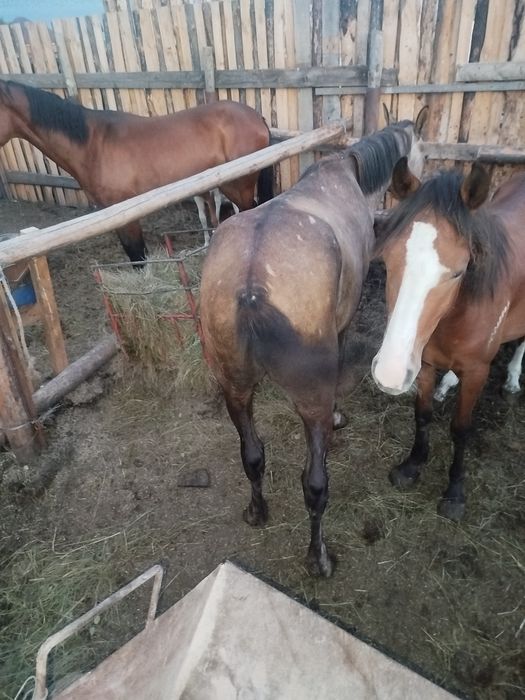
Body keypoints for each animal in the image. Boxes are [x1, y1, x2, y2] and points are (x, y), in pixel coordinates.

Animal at [200, 109, 428, 577]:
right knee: (316, 485)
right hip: (308, 402)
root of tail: (250, 288)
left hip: (235, 389)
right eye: (423, 154)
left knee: (252, 455)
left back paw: (257, 511)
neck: (349, 173)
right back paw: (318, 557)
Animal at [372, 159, 525, 521]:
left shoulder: (478, 372)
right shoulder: (424, 363)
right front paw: (411, 466)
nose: (389, 374)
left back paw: (513, 378)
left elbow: (461, 428)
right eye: (387, 261)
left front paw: (455, 493)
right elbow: (423, 413)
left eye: (458, 272)